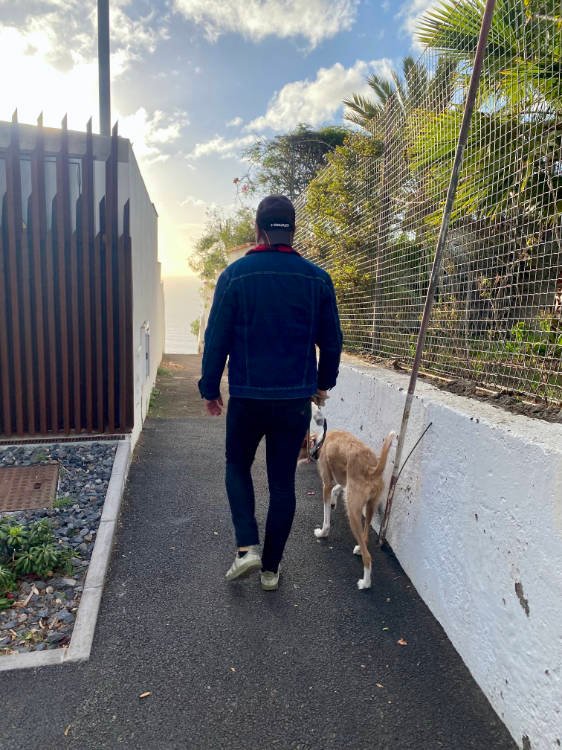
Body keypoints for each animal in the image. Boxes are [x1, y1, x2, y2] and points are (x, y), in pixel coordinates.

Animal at [316, 432, 394, 592]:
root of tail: (371, 469)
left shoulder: (326, 484)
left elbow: (326, 519)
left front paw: (322, 533)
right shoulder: (344, 481)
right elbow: (338, 487)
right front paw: (334, 500)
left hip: (352, 514)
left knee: (368, 557)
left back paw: (365, 583)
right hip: (370, 506)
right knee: (365, 536)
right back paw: (359, 548)